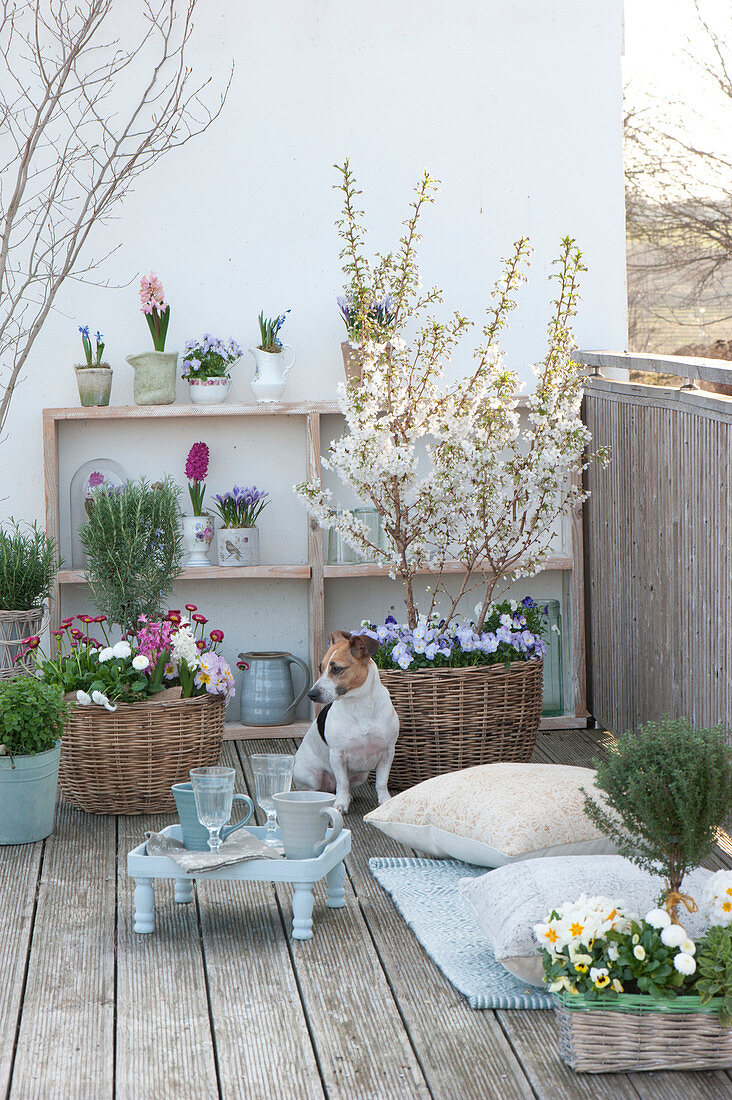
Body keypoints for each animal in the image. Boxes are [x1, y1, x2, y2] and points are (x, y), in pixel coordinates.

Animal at [290, 633, 400, 814]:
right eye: (320, 668)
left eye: (336, 669)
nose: (311, 694)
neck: (359, 703)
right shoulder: (337, 755)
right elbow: (342, 782)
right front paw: (341, 804)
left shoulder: (387, 752)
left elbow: (381, 782)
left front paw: (385, 801)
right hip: (311, 775)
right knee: (317, 789)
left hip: (361, 775)